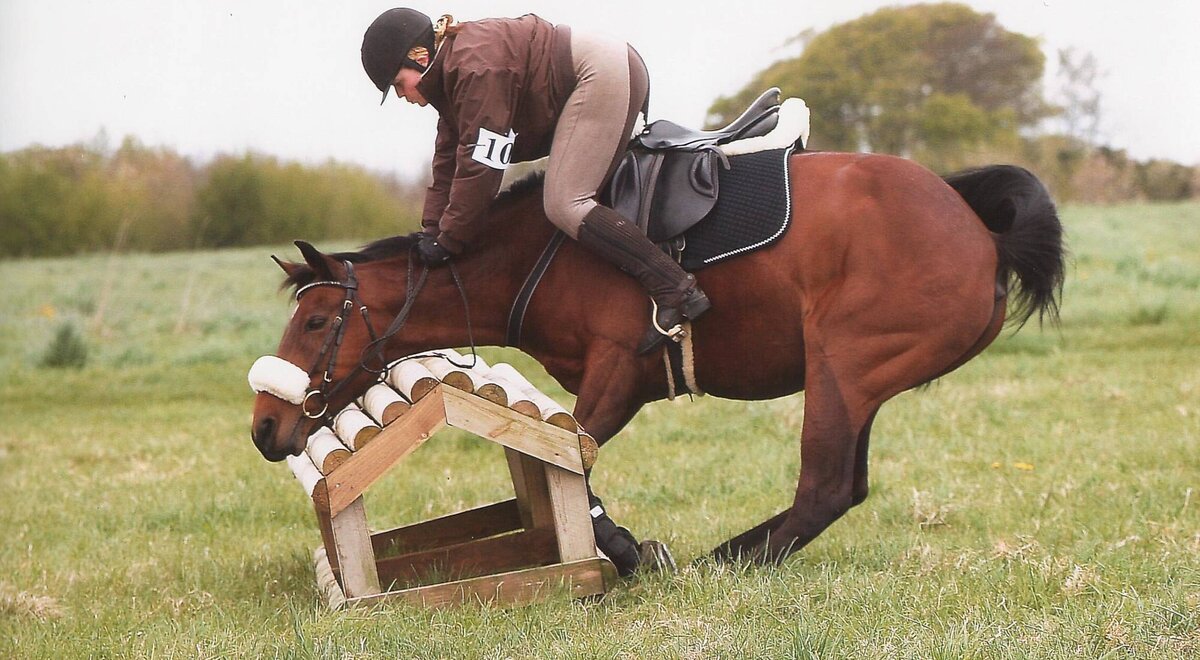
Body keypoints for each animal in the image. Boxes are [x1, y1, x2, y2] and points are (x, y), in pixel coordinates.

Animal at [248, 154, 1065, 573]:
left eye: (315, 321)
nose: (263, 428)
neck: (542, 253)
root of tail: (978, 226)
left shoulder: (619, 373)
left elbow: (574, 454)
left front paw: (624, 549)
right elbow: (570, 458)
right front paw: (621, 544)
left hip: (846, 362)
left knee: (827, 486)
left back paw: (724, 561)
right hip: (857, 378)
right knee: (844, 485)